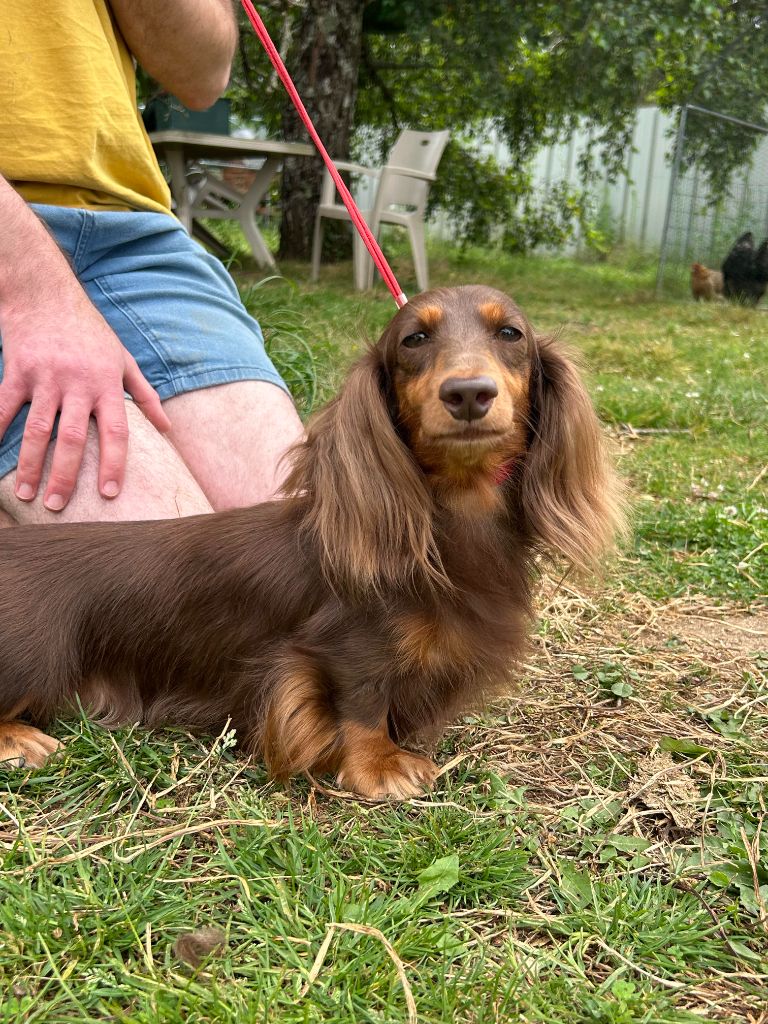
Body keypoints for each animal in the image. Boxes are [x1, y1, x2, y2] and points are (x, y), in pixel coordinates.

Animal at [0, 284, 626, 794]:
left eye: (510, 333)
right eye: (415, 338)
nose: (469, 393)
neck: (452, 520)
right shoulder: (342, 650)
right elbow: (363, 702)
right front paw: (379, 766)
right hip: (39, 654)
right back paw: (19, 740)